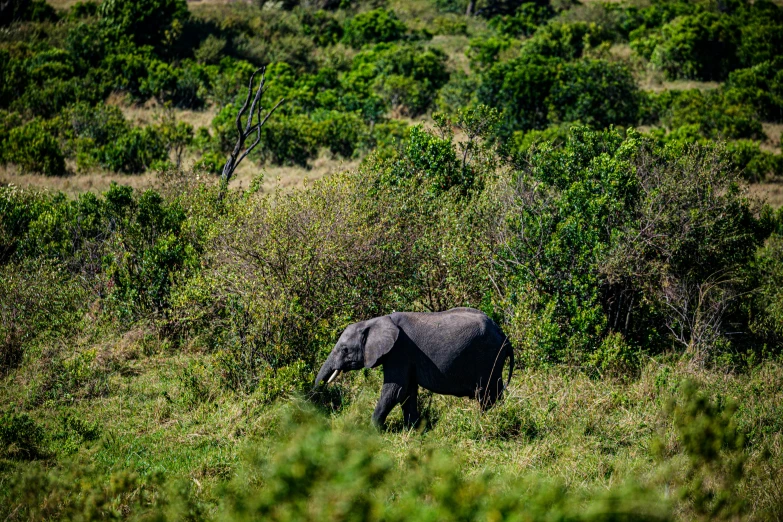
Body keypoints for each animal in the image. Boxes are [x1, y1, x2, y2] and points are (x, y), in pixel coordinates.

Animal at [312, 306, 516, 424]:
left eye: (344, 349)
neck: (377, 320)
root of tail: (503, 335)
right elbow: (407, 392)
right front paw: (413, 430)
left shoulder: (399, 351)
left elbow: (395, 390)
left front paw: (371, 430)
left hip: (489, 357)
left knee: (488, 393)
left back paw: (484, 420)